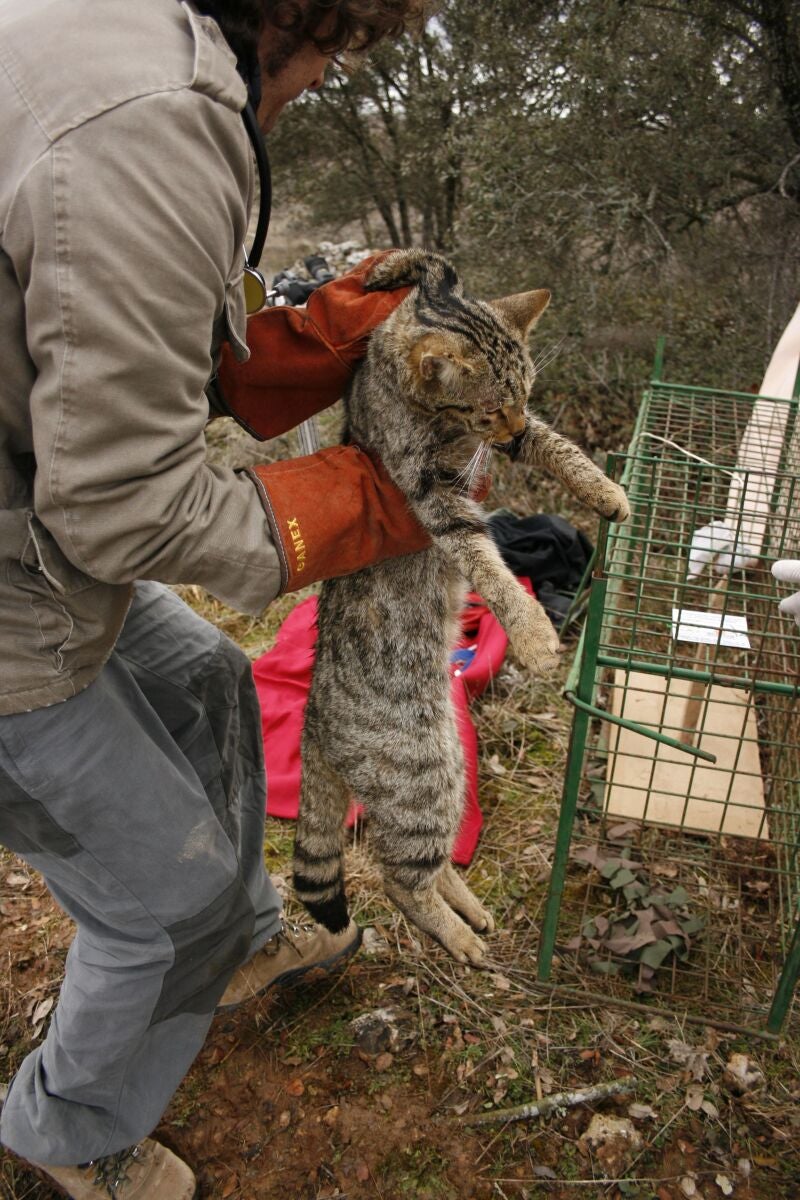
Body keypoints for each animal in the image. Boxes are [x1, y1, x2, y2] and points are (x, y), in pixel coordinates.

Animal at [291, 253, 628, 964]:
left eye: (527, 396)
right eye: (492, 406)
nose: (514, 426)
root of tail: (313, 723)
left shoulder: (505, 447)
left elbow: (559, 447)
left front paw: (606, 491)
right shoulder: (433, 499)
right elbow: (487, 564)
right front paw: (532, 632)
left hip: (448, 760)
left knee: (427, 858)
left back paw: (467, 907)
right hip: (423, 775)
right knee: (399, 879)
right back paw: (458, 934)